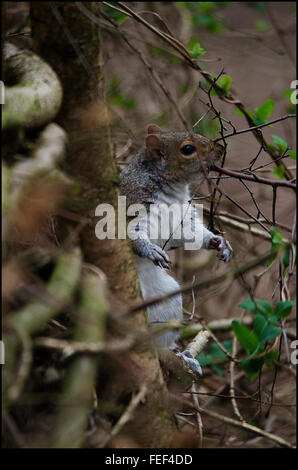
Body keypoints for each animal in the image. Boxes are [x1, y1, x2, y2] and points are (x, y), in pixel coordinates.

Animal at [120, 125, 232, 374]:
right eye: (188, 149)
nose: (220, 149)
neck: (172, 189)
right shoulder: (132, 205)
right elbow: (130, 235)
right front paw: (150, 250)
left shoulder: (181, 218)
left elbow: (191, 234)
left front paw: (218, 242)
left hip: (167, 302)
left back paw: (182, 357)